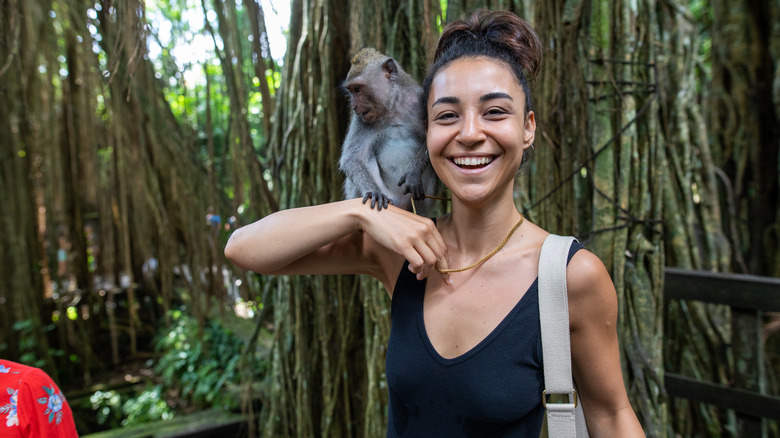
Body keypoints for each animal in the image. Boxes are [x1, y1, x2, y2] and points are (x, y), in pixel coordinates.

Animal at [340, 47, 438, 214]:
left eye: (357, 89)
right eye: (351, 91)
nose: (354, 106)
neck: (392, 108)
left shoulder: (420, 102)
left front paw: (413, 172)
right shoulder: (360, 120)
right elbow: (353, 158)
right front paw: (374, 193)